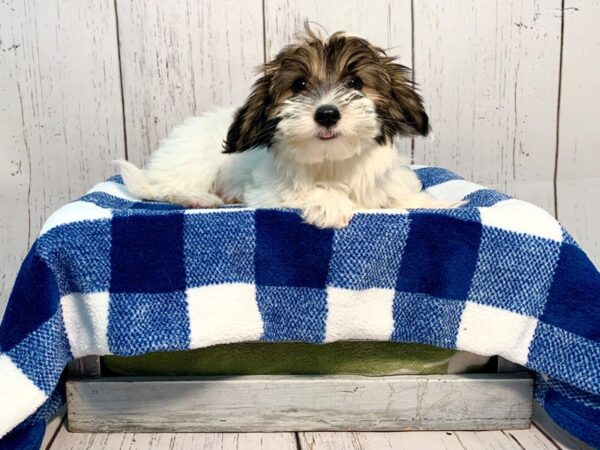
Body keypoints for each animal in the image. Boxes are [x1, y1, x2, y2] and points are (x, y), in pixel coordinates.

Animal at [117, 27, 458, 229]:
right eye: (299, 85)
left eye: (354, 83)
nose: (327, 113)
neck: (330, 161)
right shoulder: (267, 192)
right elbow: (303, 191)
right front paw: (330, 203)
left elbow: (399, 195)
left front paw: (433, 203)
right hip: (193, 163)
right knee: (165, 188)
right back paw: (201, 198)